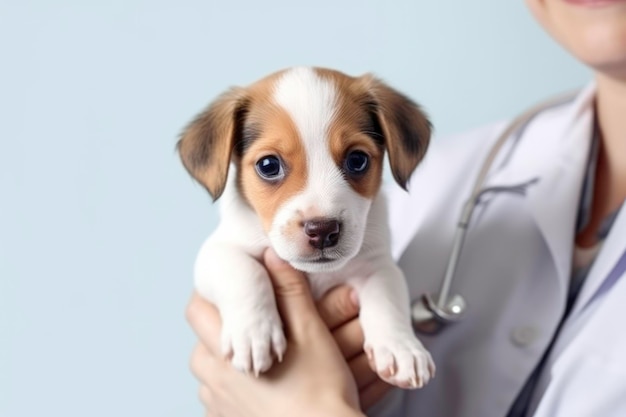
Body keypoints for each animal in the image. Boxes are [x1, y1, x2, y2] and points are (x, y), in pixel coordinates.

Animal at [178, 66, 434, 388]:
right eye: (268, 165)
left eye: (357, 160)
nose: (322, 230)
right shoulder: (216, 252)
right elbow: (245, 271)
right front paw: (253, 334)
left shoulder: (378, 264)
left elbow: (387, 296)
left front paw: (403, 348)